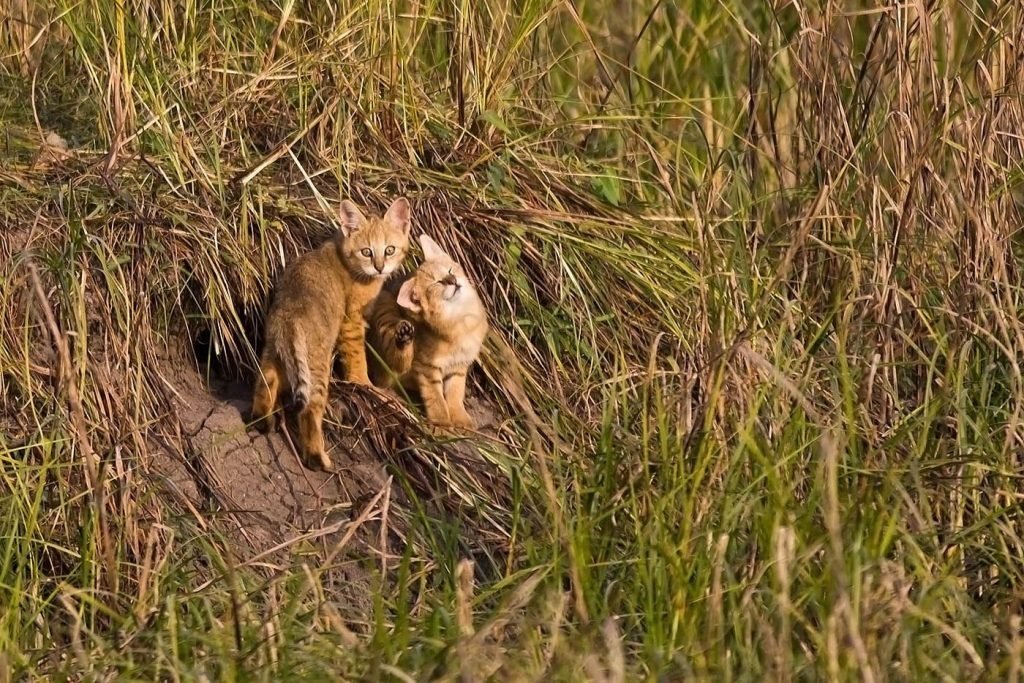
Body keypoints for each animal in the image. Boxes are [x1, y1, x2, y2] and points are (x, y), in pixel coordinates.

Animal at [368, 232, 487, 430]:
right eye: (436, 284)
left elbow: (455, 393)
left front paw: (460, 418)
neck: (460, 321)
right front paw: (442, 425)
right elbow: (436, 399)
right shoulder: (426, 368)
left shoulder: (459, 367)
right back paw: (404, 338)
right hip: (385, 308)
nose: (453, 280)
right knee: (388, 371)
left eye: (449, 271)